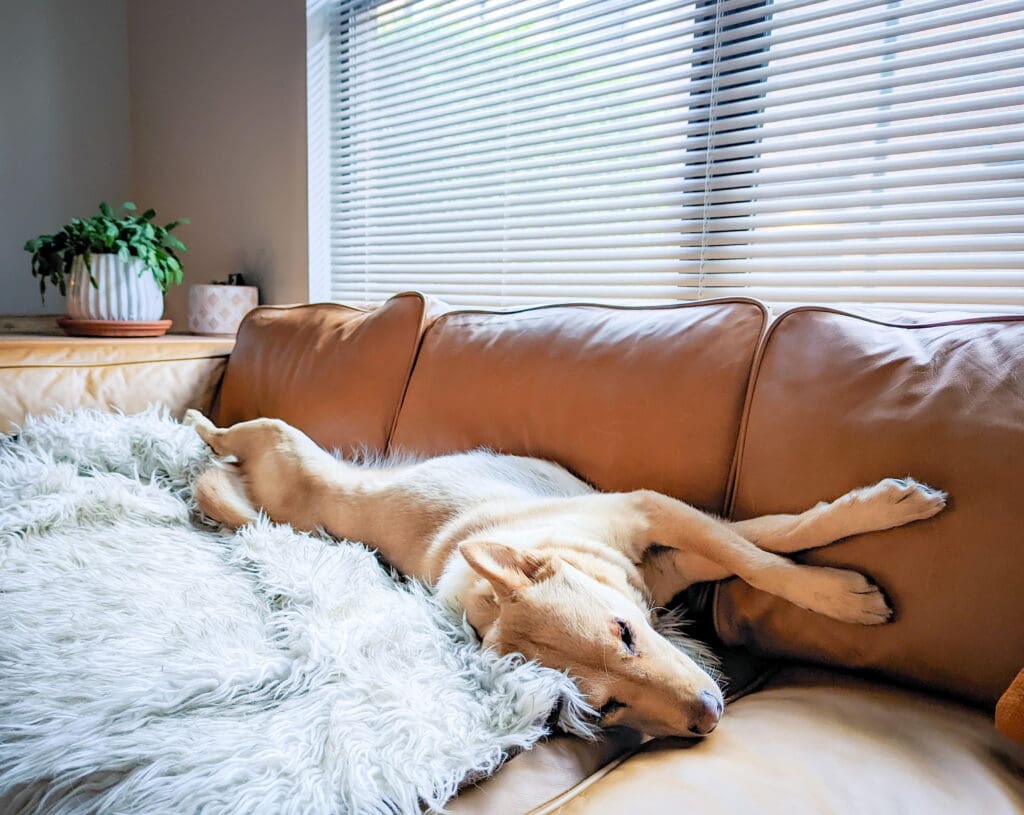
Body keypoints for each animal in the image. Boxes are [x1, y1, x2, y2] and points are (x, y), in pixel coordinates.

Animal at [182, 411, 942, 737]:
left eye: (626, 633)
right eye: (607, 709)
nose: (712, 715)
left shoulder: (656, 520)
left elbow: (766, 544)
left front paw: (865, 542)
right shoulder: (663, 540)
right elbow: (759, 547)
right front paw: (847, 592)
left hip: (281, 441)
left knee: (220, 438)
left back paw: (197, 423)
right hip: (274, 460)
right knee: (217, 449)